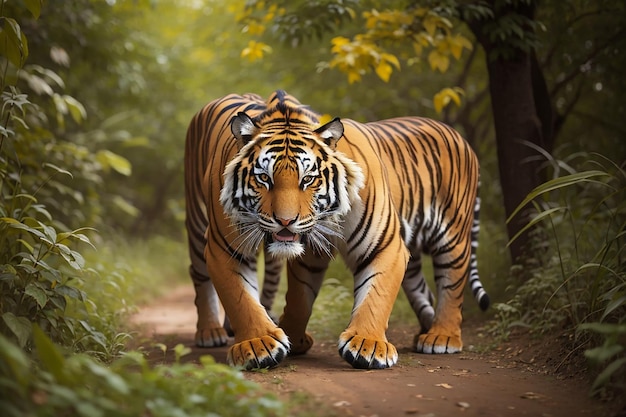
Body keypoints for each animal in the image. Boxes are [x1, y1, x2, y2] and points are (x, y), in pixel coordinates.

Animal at [183, 89, 490, 368]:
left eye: (308, 179)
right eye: (264, 178)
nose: (285, 221)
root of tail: (461, 138)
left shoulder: (386, 245)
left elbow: (376, 296)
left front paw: (368, 344)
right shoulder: (228, 248)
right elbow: (253, 299)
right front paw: (261, 343)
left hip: (452, 236)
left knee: (451, 284)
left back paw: (441, 337)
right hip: (197, 223)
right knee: (199, 275)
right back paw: (210, 332)